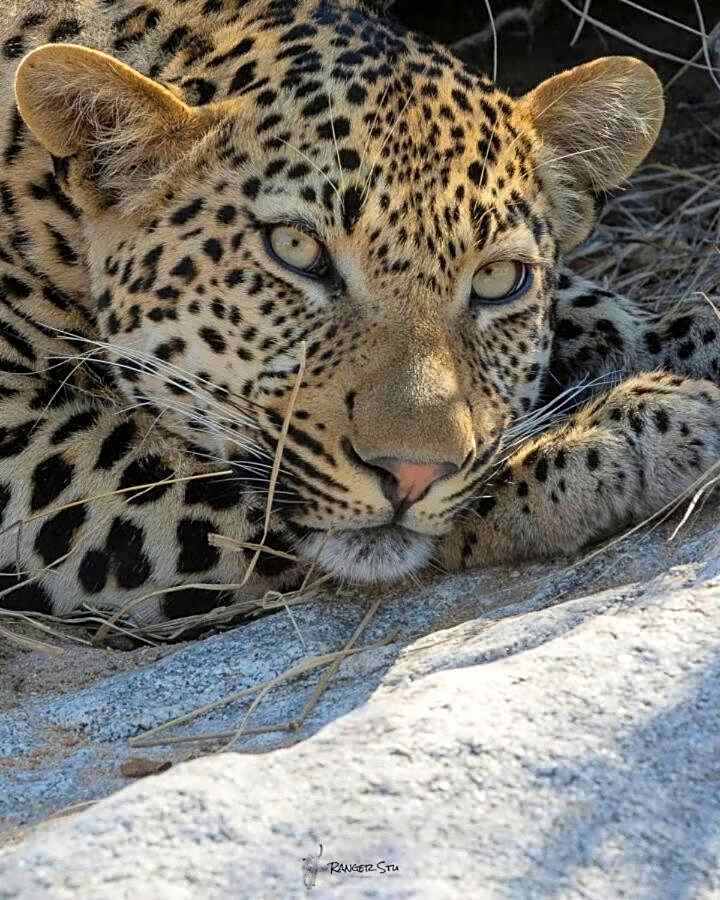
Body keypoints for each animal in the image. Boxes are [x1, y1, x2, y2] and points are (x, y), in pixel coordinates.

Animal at [0, 0, 718, 625]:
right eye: (296, 250)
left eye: (497, 279)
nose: (412, 474)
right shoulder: (31, 449)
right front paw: (626, 433)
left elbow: (592, 307)